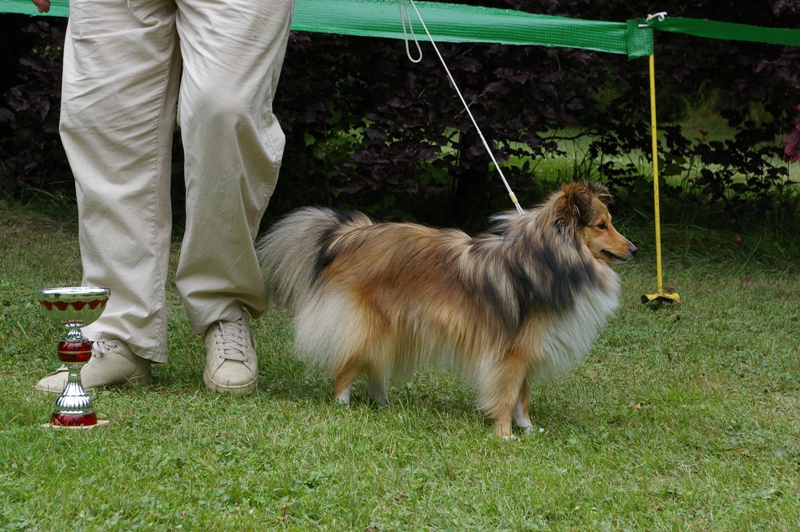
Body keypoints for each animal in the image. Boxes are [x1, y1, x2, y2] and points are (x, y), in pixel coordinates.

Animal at [256, 182, 636, 436]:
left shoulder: (528, 349)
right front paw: (504, 434)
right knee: (347, 365)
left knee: (374, 367)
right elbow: (506, 394)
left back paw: (384, 404)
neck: (548, 258)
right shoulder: (510, 354)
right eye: (601, 225)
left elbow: (523, 396)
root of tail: (347, 233)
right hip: (368, 324)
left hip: (391, 327)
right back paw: (342, 403)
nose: (633, 249)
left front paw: (527, 428)